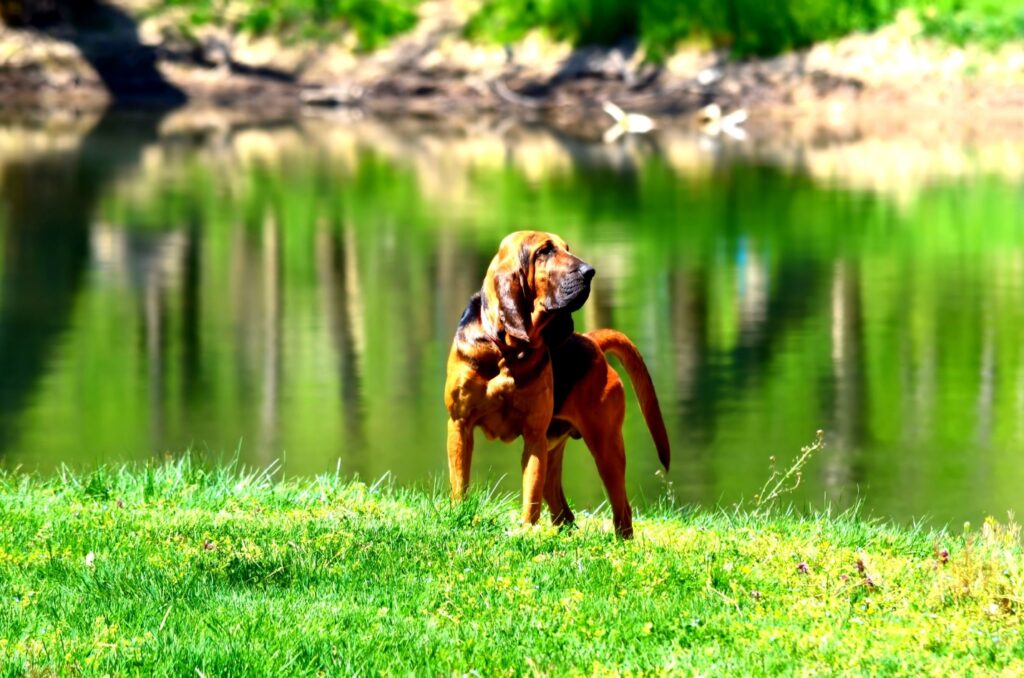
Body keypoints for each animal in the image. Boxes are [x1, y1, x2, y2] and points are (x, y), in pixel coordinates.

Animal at [442, 231, 671, 540]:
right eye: (545, 251)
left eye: (566, 248)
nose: (590, 271)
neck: (506, 349)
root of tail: (592, 341)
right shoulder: (460, 425)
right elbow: (460, 482)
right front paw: (459, 516)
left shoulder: (534, 436)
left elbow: (530, 495)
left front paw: (526, 532)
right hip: (558, 449)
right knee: (564, 512)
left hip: (606, 448)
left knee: (622, 510)